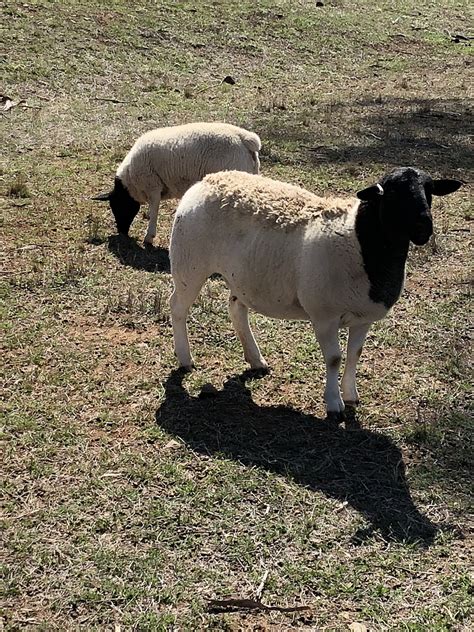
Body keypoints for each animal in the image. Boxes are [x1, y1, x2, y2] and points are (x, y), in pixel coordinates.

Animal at [90, 122, 262, 243]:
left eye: (118, 206)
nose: (122, 231)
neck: (131, 181)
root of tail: (245, 138)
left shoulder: (153, 187)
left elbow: (154, 210)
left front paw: (149, 237)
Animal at [168, 167, 462, 420]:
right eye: (391, 194)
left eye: (430, 190)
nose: (424, 227)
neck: (360, 242)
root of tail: (206, 180)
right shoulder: (324, 316)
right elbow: (334, 358)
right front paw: (334, 405)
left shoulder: (363, 317)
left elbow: (355, 354)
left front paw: (351, 395)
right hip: (189, 264)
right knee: (178, 307)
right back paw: (185, 359)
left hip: (242, 276)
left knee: (236, 308)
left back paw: (256, 360)